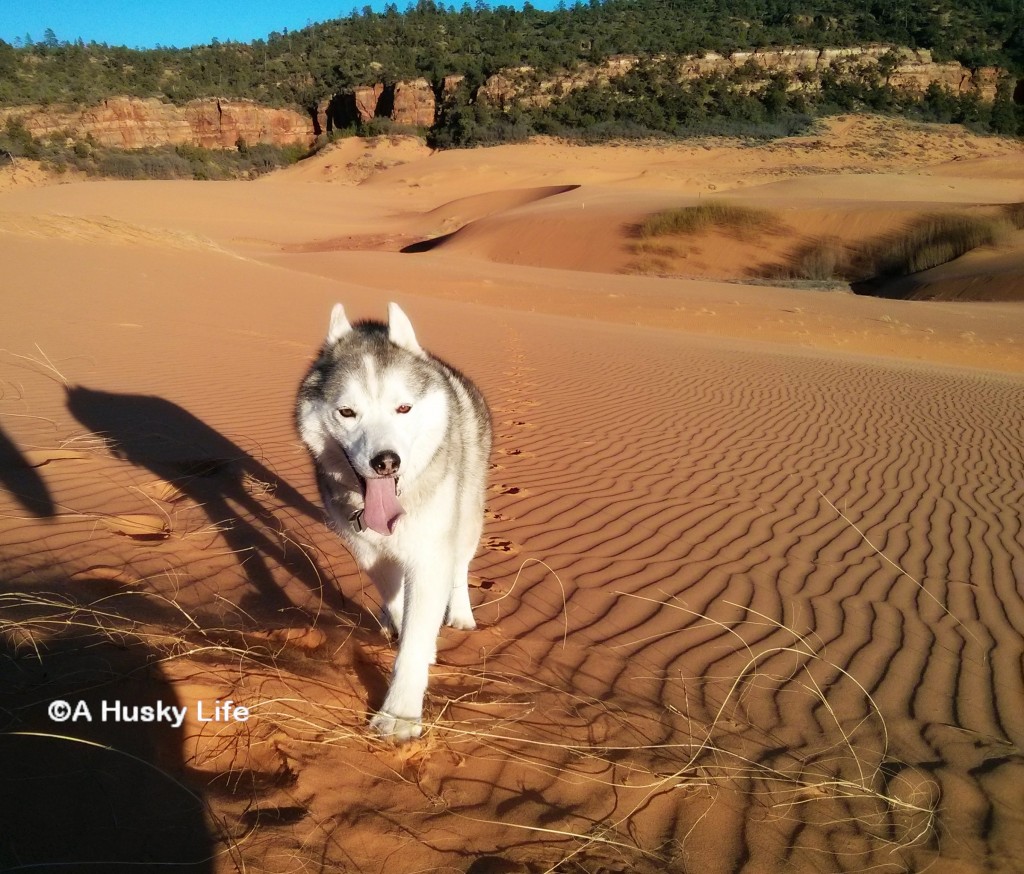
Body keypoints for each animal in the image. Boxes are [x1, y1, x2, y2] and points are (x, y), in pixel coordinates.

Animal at [296, 304, 491, 740]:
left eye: (404, 408)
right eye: (347, 412)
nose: (386, 461)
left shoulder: (432, 552)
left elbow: (418, 632)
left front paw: (400, 713)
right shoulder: (370, 552)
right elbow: (399, 602)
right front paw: (402, 625)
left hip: (468, 516)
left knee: (460, 566)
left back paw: (461, 615)